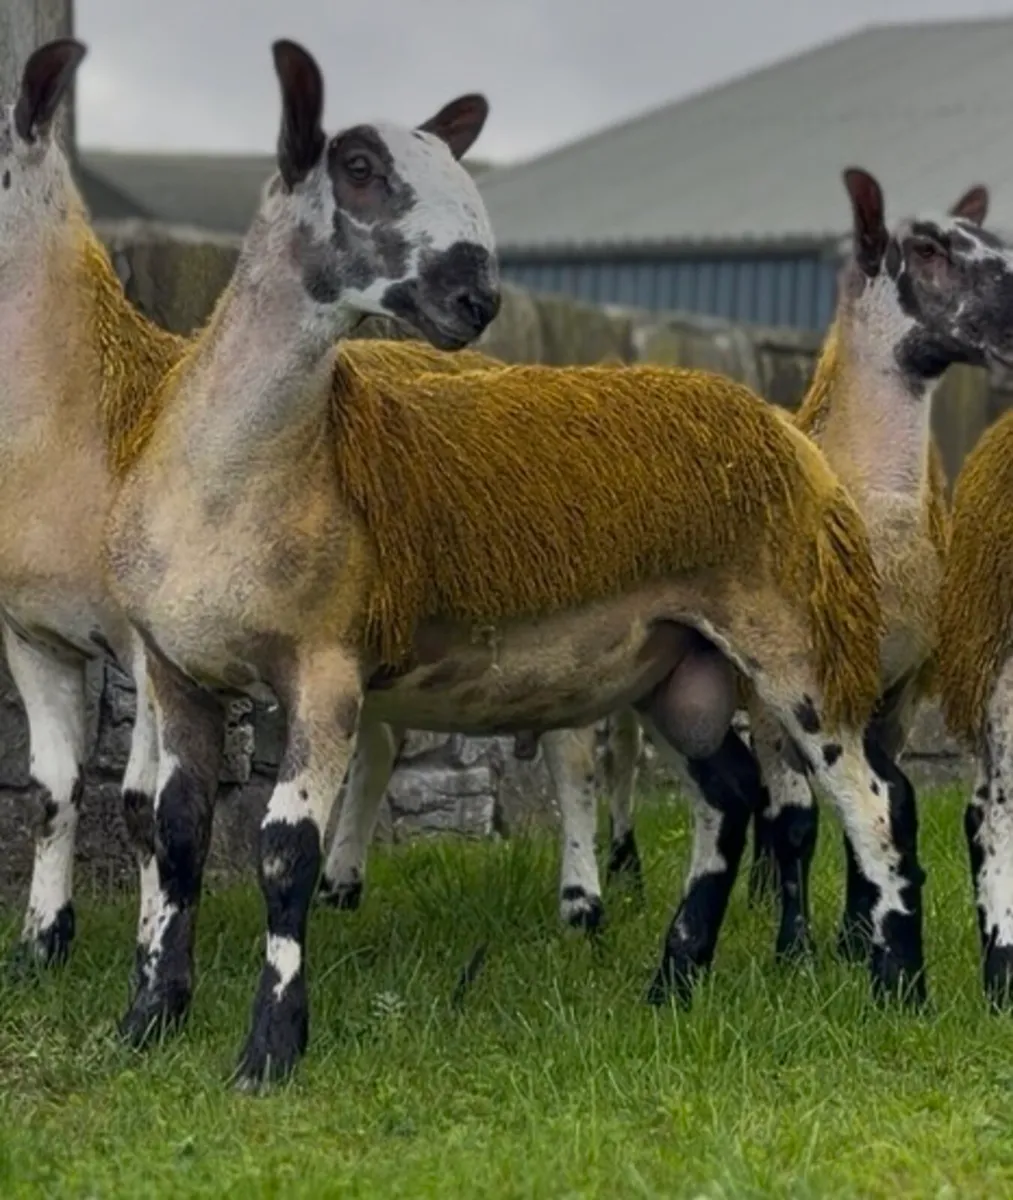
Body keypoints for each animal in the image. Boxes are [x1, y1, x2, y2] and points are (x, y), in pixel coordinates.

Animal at [0, 37, 498, 973]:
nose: (474, 298)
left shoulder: (147, 641)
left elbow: (142, 806)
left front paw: (153, 944)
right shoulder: (31, 631)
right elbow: (54, 791)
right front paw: (45, 942)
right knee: (382, 737)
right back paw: (342, 886)